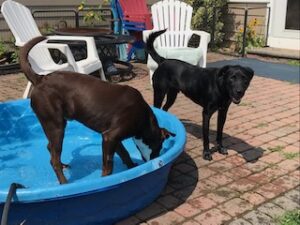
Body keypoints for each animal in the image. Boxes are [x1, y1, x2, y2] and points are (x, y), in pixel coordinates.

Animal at [19, 36, 173, 185]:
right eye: (159, 147)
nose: (156, 158)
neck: (144, 118)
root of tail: (40, 79)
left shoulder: (112, 138)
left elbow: (125, 154)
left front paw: (132, 168)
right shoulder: (110, 137)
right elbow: (108, 166)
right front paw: (106, 180)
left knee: (50, 149)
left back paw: (63, 165)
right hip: (56, 126)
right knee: (54, 159)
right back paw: (64, 182)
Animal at [146, 29, 253, 160]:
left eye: (245, 79)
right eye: (232, 78)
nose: (239, 91)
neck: (220, 87)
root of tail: (163, 60)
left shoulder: (223, 112)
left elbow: (220, 132)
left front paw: (220, 148)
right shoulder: (206, 113)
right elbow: (206, 136)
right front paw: (206, 153)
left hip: (172, 95)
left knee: (165, 109)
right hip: (159, 93)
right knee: (157, 109)